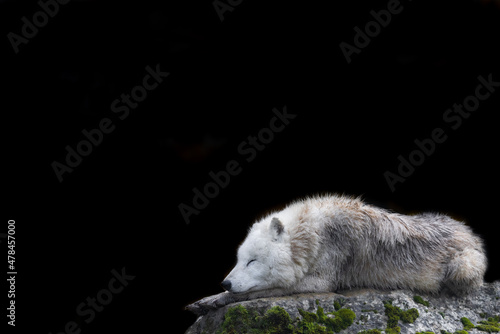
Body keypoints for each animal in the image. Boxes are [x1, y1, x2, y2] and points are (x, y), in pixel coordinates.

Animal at [187, 194, 484, 314]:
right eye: (238, 260)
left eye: (252, 261)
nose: (225, 282)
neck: (313, 231)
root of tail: (472, 234)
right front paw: (209, 299)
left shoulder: (322, 282)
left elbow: (259, 292)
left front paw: (212, 300)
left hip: (463, 266)